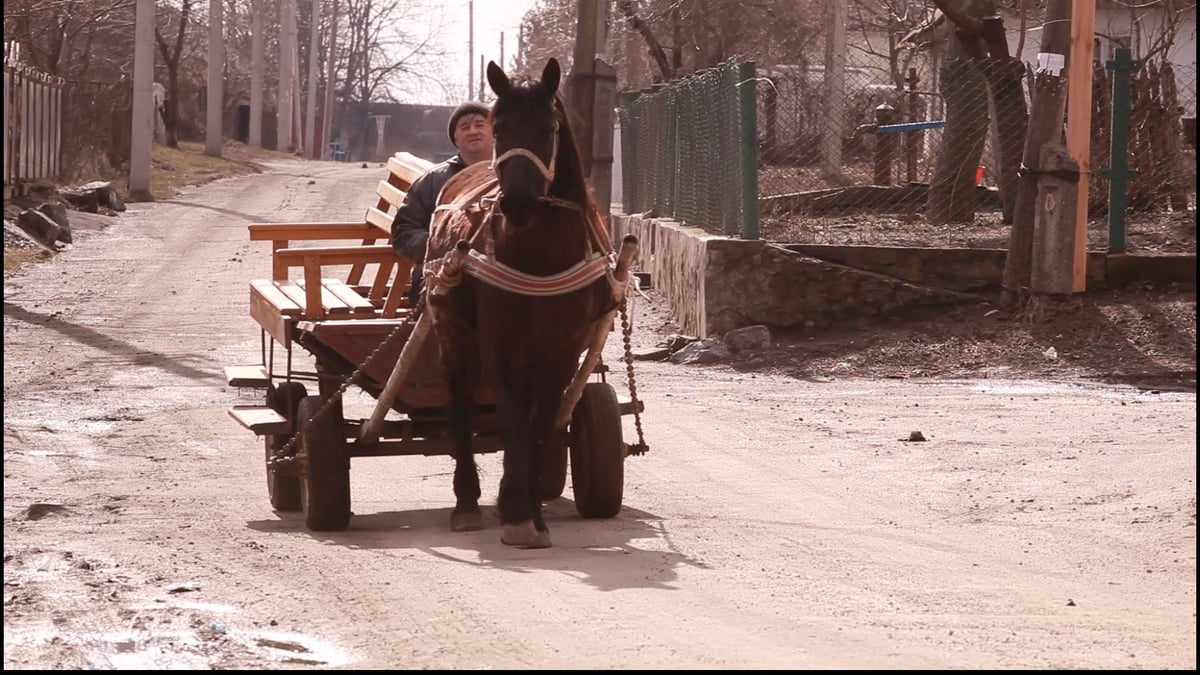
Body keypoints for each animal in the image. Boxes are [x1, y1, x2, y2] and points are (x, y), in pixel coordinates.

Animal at [422, 57, 619, 547]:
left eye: (548, 128)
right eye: (500, 128)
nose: (516, 202)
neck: (539, 254)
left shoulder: (564, 345)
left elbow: (541, 421)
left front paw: (531, 510)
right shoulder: (499, 340)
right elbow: (511, 416)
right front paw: (514, 513)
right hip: (454, 334)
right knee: (460, 406)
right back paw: (467, 502)